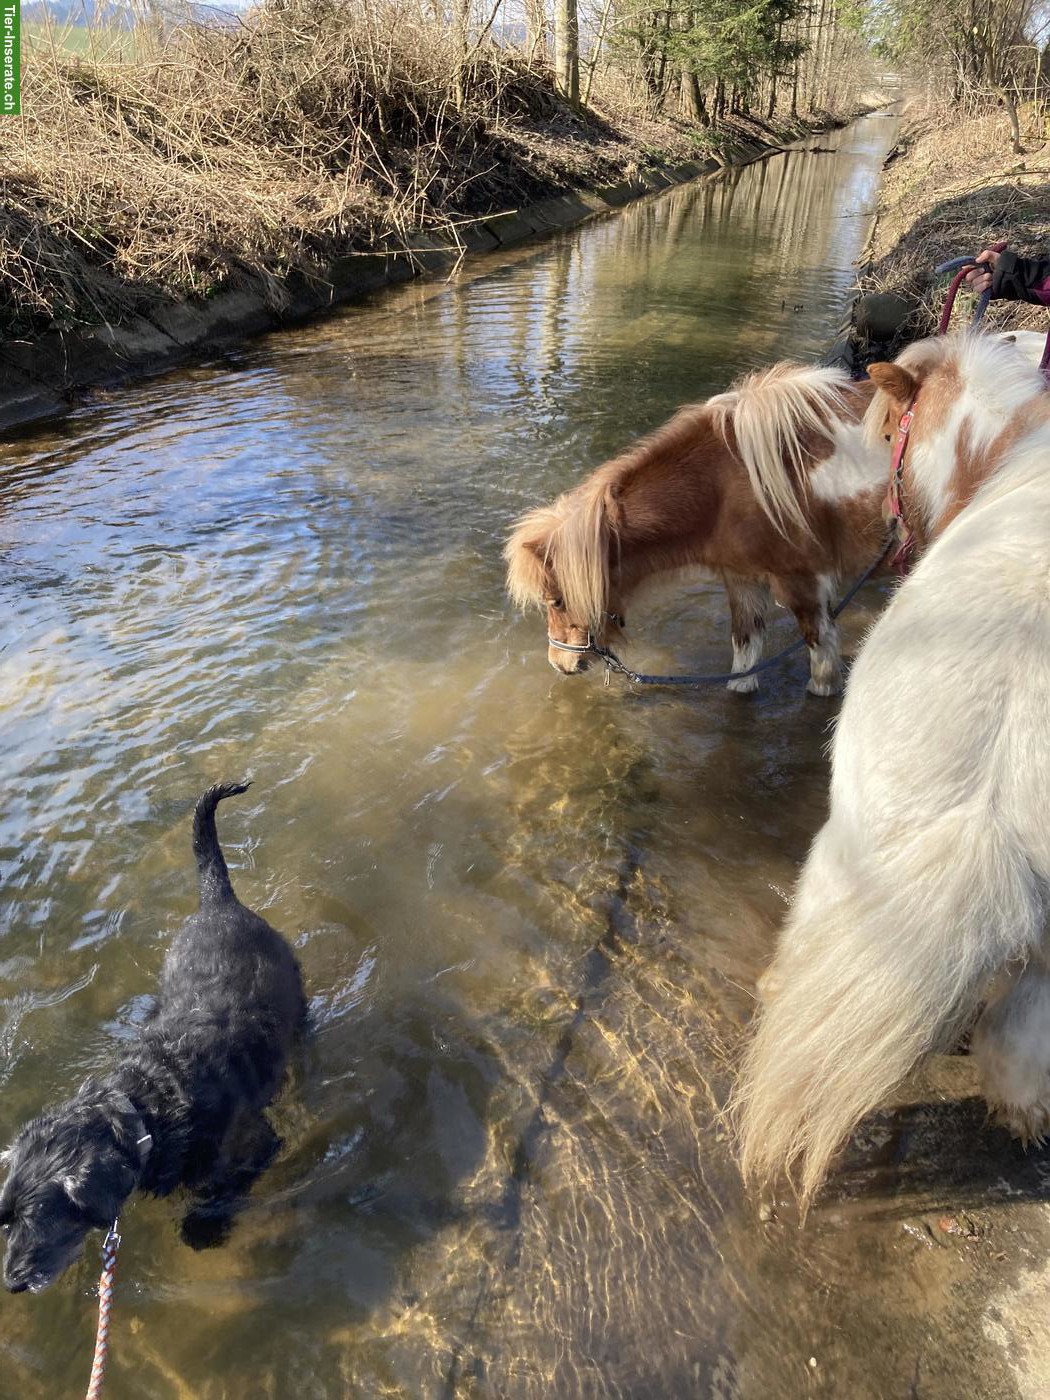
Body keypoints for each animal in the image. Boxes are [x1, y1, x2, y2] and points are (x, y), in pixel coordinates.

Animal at [504, 363, 888, 696]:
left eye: (556, 599)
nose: (560, 664)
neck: (728, 482)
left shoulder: (802, 582)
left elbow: (821, 655)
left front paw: (821, 690)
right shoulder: (742, 579)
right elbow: (744, 655)